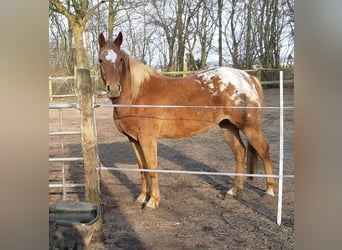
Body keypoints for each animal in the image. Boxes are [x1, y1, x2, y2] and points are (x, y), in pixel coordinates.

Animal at [98, 32, 276, 209]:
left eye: (120, 59)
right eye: (100, 60)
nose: (113, 89)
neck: (137, 95)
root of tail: (248, 77)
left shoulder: (147, 139)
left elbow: (152, 168)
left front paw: (153, 201)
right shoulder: (134, 140)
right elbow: (142, 168)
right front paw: (142, 197)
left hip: (250, 127)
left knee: (264, 150)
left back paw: (270, 191)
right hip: (228, 126)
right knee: (240, 152)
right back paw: (234, 191)